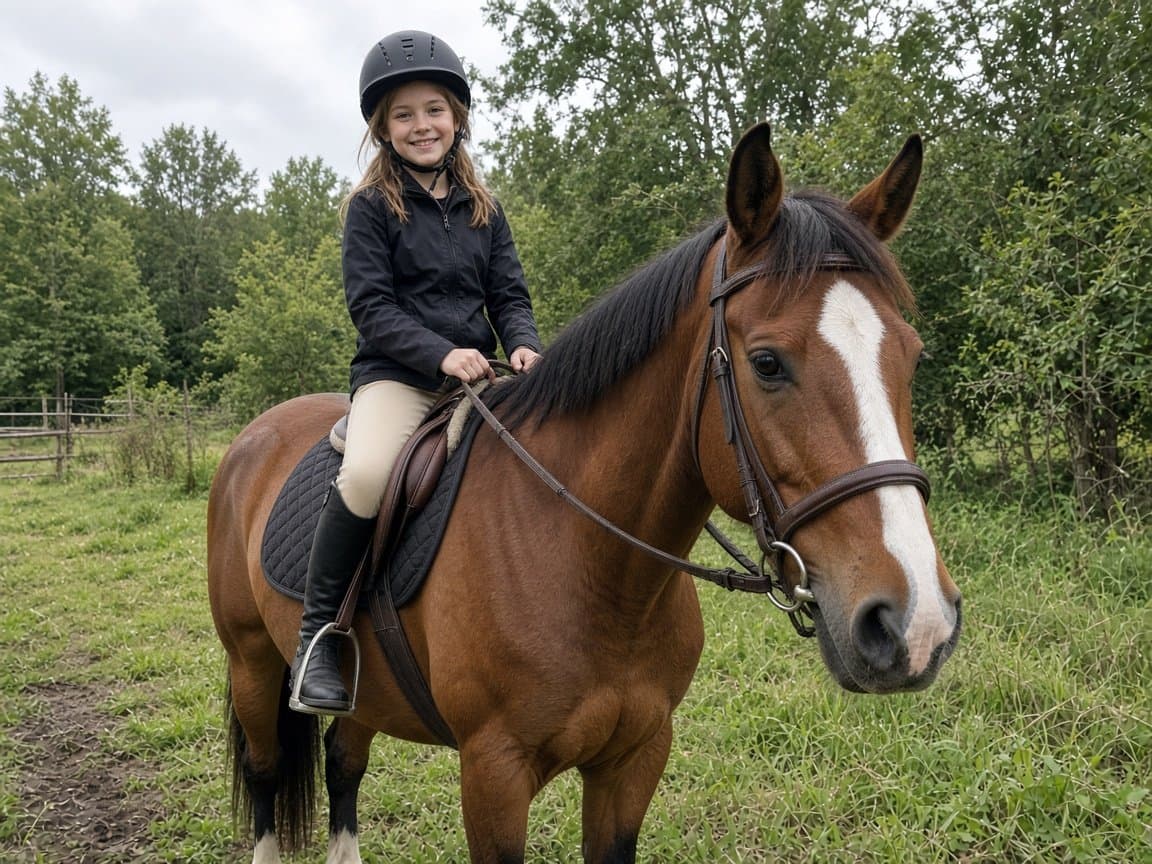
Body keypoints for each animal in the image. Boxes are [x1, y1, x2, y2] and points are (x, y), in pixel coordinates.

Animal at [207, 122, 961, 864]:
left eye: (913, 355)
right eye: (767, 364)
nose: (915, 622)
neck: (593, 569)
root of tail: (256, 436)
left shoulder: (636, 755)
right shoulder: (493, 774)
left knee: (344, 764)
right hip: (252, 662)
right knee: (268, 772)